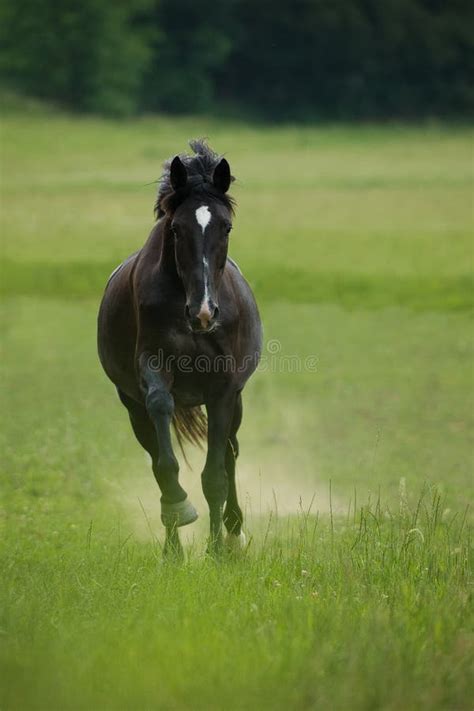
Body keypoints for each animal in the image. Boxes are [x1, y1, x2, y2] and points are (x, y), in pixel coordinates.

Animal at [97, 140, 262, 556]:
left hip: (235, 404)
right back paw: (173, 547)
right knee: (157, 453)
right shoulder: (151, 369)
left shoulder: (223, 391)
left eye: (226, 226)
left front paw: (218, 550)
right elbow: (164, 454)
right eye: (176, 228)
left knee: (231, 455)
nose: (203, 312)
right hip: (132, 407)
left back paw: (233, 535)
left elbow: (215, 475)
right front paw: (178, 510)